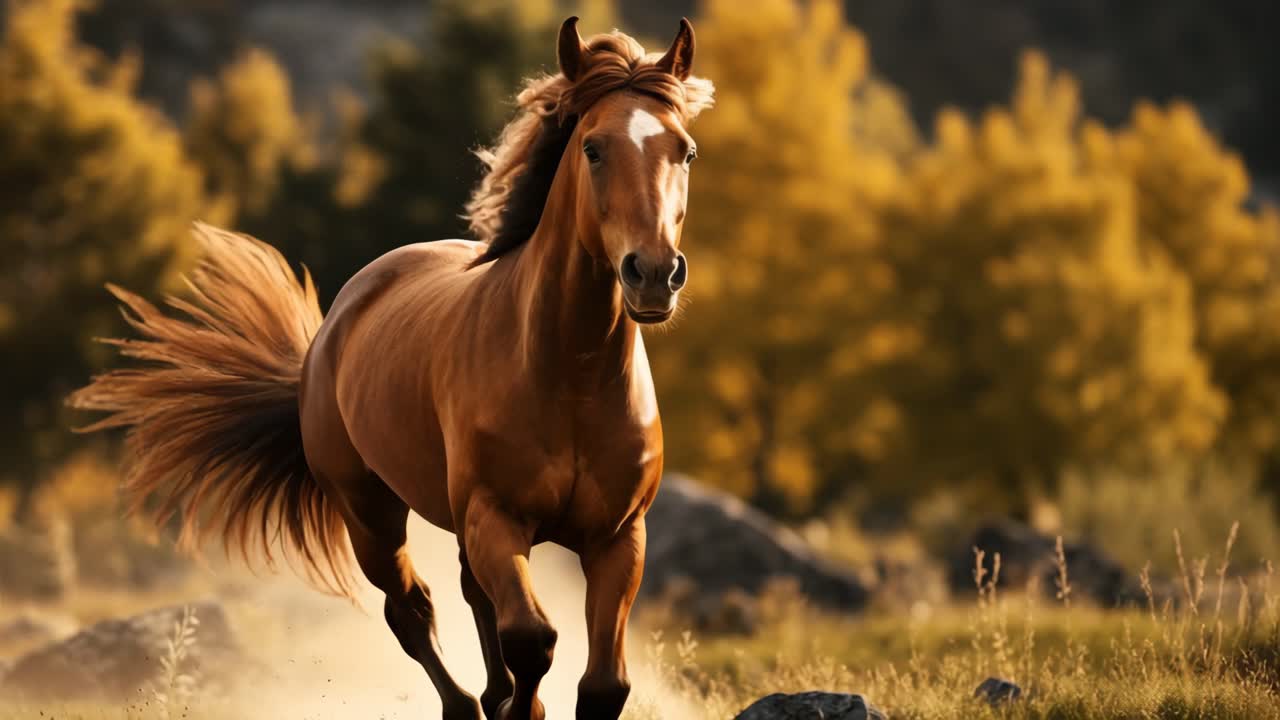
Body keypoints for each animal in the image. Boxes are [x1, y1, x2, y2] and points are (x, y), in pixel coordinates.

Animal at [69, 16, 714, 720]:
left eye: (685, 152)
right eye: (594, 149)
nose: (653, 274)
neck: (570, 375)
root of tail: (334, 324)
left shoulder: (618, 537)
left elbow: (602, 685)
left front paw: (524, 699)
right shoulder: (497, 518)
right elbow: (531, 639)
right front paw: (518, 707)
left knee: (469, 596)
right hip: (370, 514)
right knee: (413, 611)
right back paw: (467, 703)